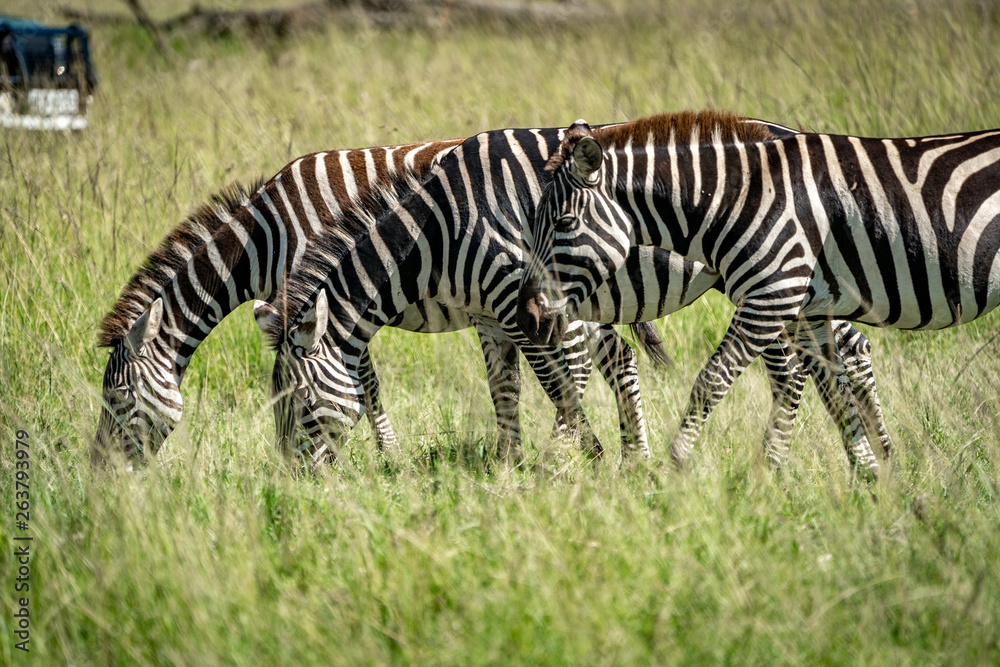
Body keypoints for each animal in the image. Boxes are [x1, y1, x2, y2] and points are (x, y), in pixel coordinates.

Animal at [93, 137, 656, 465]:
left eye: (116, 399)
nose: (99, 476)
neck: (266, 238)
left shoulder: (326, 294)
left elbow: (363, 382)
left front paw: (386, 457)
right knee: (617, 356)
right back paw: (630, 455)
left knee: (590, 361)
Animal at [261, 123, 890, 474]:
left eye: (300, 400)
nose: (295, 486)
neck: (440, 231)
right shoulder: (500, 312)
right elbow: (512, 384)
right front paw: (521, 461)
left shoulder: (518, 299)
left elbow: (559, 380)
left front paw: (577, 456)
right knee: (830, 357)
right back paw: (875, 454)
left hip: (772, 278)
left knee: (813, 363)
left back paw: (843, 456)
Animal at [517, 109, 996, 470]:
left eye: (564, 223)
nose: (527, 319)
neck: (743, 195)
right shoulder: (807, 309)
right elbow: (834, 396)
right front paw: (872, 484)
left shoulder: (772, 295)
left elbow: (710, 380)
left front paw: (674, 470)